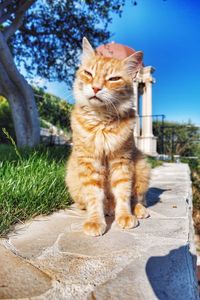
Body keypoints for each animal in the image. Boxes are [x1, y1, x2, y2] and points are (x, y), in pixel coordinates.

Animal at [65, 37, 150, 237]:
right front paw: (95, 221)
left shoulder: (122, 160)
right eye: (88, 73)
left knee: (137, 198)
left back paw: (137, 210)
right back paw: (107, 209)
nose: (96, 87)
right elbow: (94, 196)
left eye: (114, 79)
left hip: (142, 166)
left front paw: (125, 215)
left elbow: (123, 192)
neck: (101, 121)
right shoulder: (89, 161)